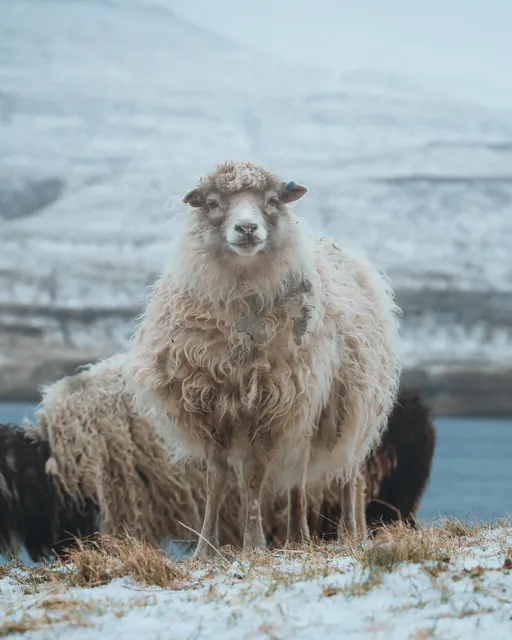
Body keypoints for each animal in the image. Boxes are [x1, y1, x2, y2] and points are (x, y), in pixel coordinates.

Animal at [123, 159, 400, 556]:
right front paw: (205, 548)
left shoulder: (272, 407)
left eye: (271, 201)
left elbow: (254, 476)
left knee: (348, 473)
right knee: (299, 475)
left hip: (345, 405)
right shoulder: (212, 407)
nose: (247, 227)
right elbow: (217, 478)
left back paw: (348, 533)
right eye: (212, 203)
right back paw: (298, 537)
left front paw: (253, 545)